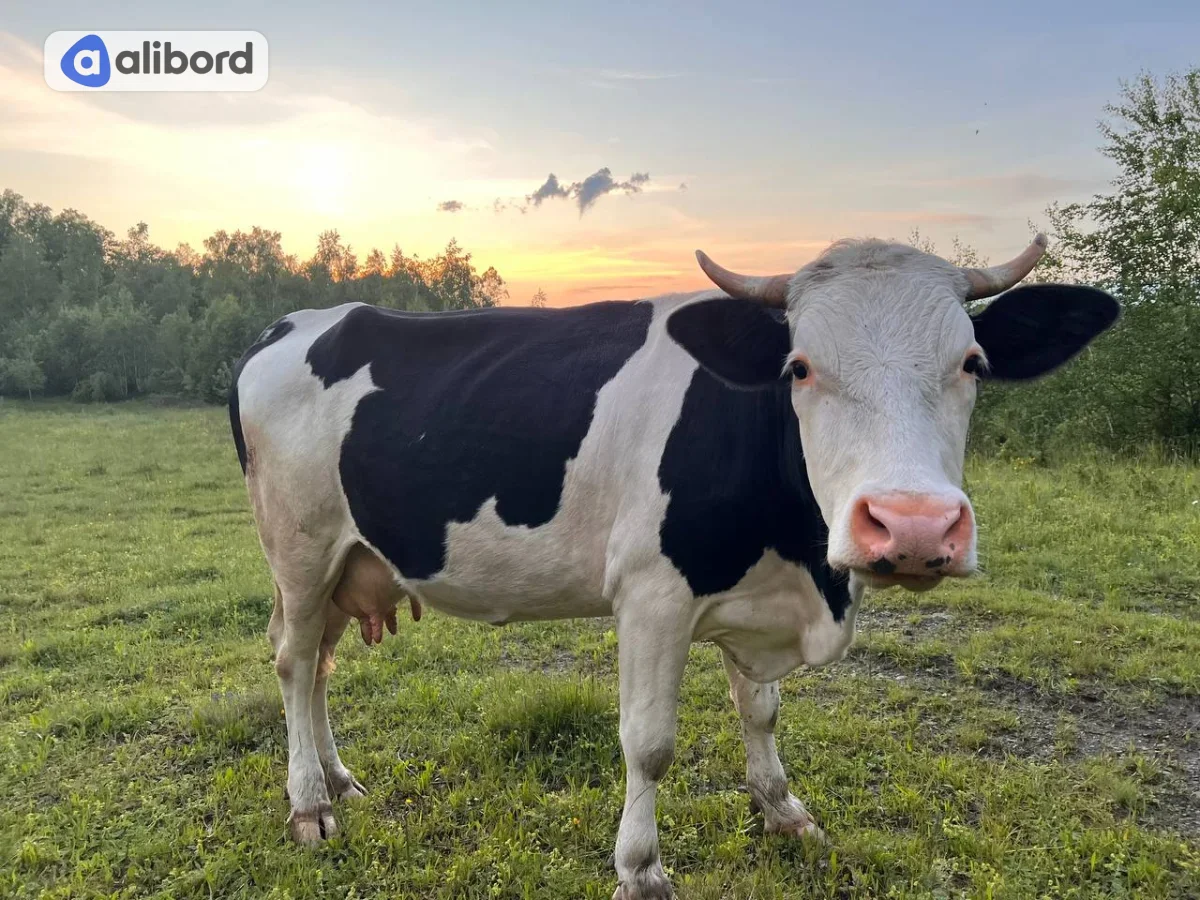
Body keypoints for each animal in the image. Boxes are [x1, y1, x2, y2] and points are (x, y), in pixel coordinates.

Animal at [229, 235, 1117, 899]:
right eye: (799, 367)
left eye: (973, 362)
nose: (914, 524)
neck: (805, 569)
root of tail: (296, 322)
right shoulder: (652, 595)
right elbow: (649, 743)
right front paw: (641, 870)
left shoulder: (754, 595)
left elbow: (761, 712)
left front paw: (783, 810)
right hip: (299, 548)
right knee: (293, 660)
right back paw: (307, 804)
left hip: (349, 562)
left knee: (320, 668)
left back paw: (339, 778)